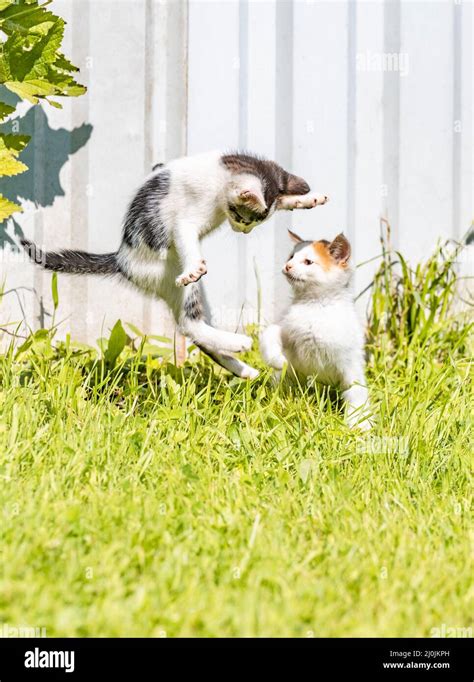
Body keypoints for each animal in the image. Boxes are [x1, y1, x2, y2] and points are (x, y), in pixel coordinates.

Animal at [22, 149, 326, 380]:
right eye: (244, 218)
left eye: (256, 222)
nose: (245, 231)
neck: (221, 177)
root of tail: (122, 260)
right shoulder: (185, 220)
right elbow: (186, 237)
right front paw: (194, 267)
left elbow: (282, 196)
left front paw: (307, 198)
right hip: (167, 275)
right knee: (190, 324)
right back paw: (239, 343)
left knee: (191, 329)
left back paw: (245, 370)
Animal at [262, 231, 372, 428]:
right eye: (291, 257)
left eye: (308, 262)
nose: (288, 266)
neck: (313, 304)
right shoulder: (290, 335)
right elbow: (271, 332)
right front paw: (276, 359)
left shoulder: (347, 361)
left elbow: (354, 393)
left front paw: (356, 423)